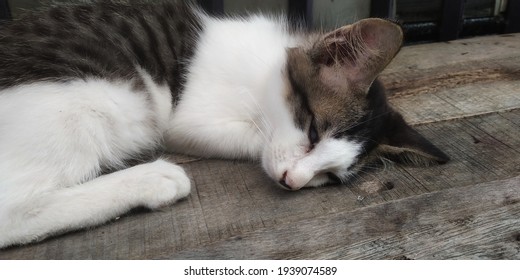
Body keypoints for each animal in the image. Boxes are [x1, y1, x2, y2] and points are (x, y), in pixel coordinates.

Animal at [0, 1, 448, 248]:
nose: (294, 181)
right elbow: (252, 138)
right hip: (91, 103)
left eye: (331, 177)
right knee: (13, 210)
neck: (264, 71)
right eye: (313, 132)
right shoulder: (186, 117)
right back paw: (154, 180)